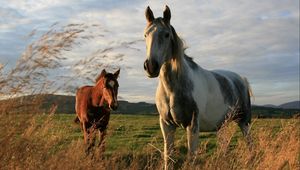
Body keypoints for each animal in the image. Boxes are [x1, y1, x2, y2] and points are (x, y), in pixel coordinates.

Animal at [144, 5, 252, 169]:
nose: (151, 66)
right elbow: (168, 156)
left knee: (250, 144)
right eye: (145, 35)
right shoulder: (166, 125)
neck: (172, 90)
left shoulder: (193, 125)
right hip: (222, 125)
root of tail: (241, 79)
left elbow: (191, 156)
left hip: (244, 122)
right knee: (224, 147)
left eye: (167, 35)